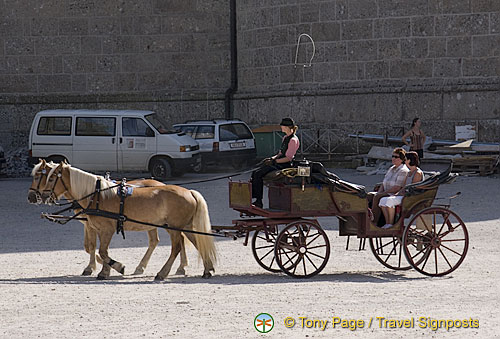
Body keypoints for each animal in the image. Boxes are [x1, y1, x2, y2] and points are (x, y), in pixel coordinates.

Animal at [41, 163, 217, 280]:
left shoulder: (106, 230)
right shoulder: (97, 229)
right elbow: (99, 250)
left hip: (174, 227)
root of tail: (189, 192)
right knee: (196, 242)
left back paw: (162, 273)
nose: (41, 196)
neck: (97, 195)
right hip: (184, 226)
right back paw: (207, 269)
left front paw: (117, 267)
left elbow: (102, 252)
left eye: (51, 178)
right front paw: (105, 271)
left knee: (177, 247)